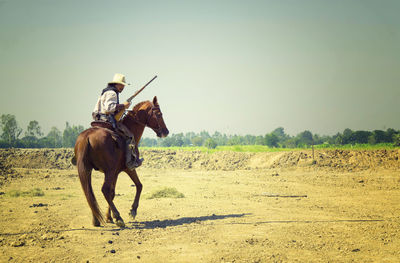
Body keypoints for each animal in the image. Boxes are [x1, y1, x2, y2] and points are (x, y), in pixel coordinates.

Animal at [72, 96, 168, 228]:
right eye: (158, 114)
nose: (166, 132)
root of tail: (87, 137)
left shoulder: (116, 173)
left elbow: (113, 193)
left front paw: (108, 217)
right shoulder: (128, 168)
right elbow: (139, 185)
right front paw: (132, 211)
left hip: (88, 170)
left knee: (89, 191)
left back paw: (96, 220)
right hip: (109, 171)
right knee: (104, 190)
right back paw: (118, 217)